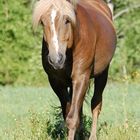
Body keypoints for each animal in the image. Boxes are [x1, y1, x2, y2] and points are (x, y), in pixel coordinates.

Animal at [32, 0, 116, 140]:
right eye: (43, 22)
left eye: (67, 20)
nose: (56, 59)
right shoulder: (56, 82)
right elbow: (69, 114)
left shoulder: (81, 78)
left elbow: (72, 118)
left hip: (102, 74)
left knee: (96, 104)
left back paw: (92, 136)